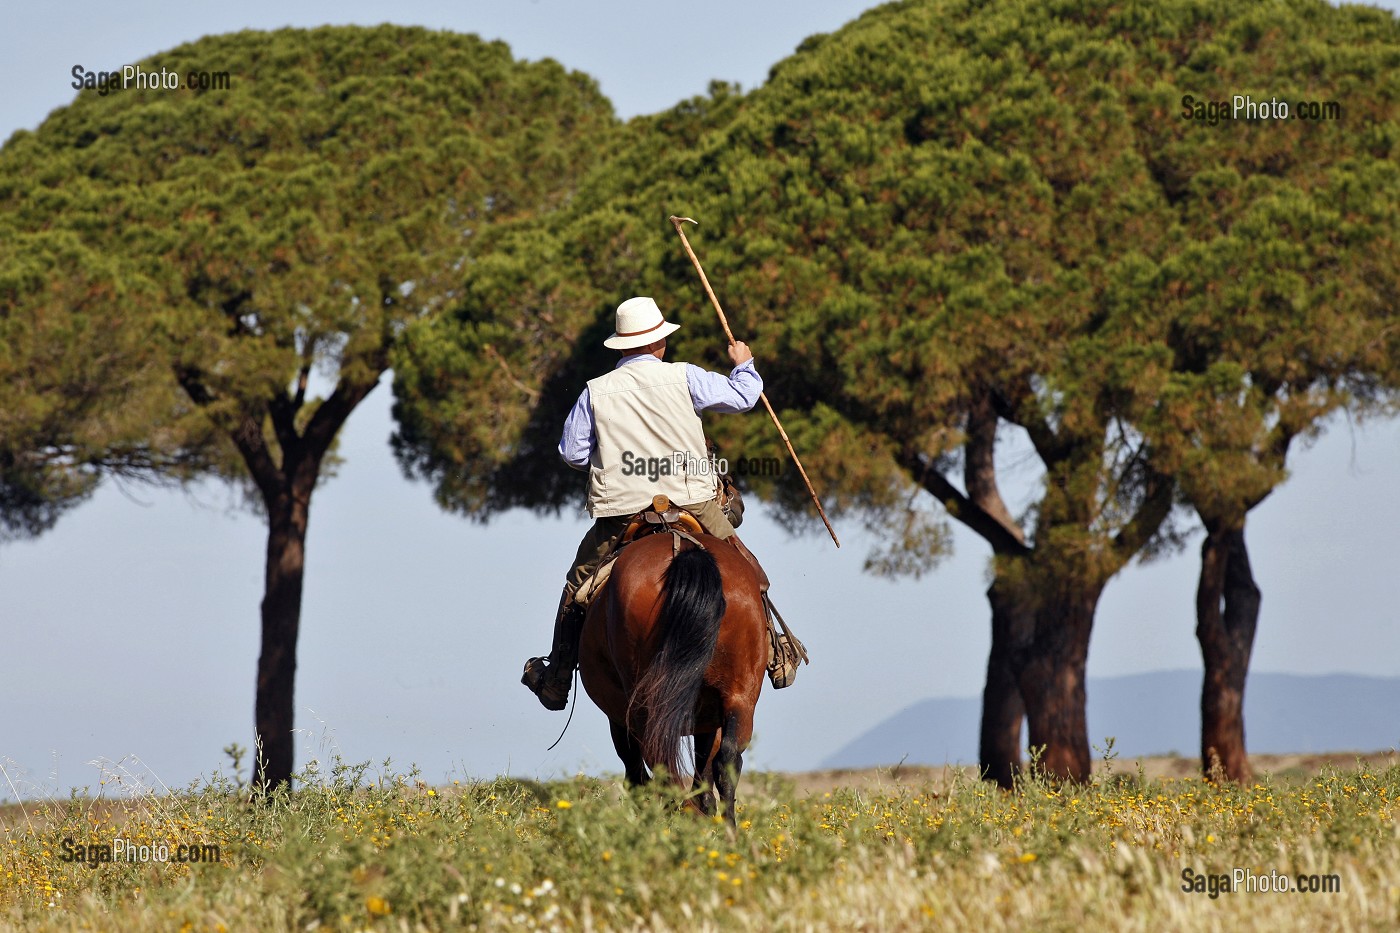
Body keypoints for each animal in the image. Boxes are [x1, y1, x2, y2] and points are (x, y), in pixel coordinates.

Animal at [574, 526, 767, 823]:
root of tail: (684, 549)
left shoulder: (618, 720)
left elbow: (637, 774)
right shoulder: (709, 717)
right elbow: (704, 771)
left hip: (642, 704)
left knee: (659, 765)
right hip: (741, 694)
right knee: (727, 759)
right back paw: (724, 829)